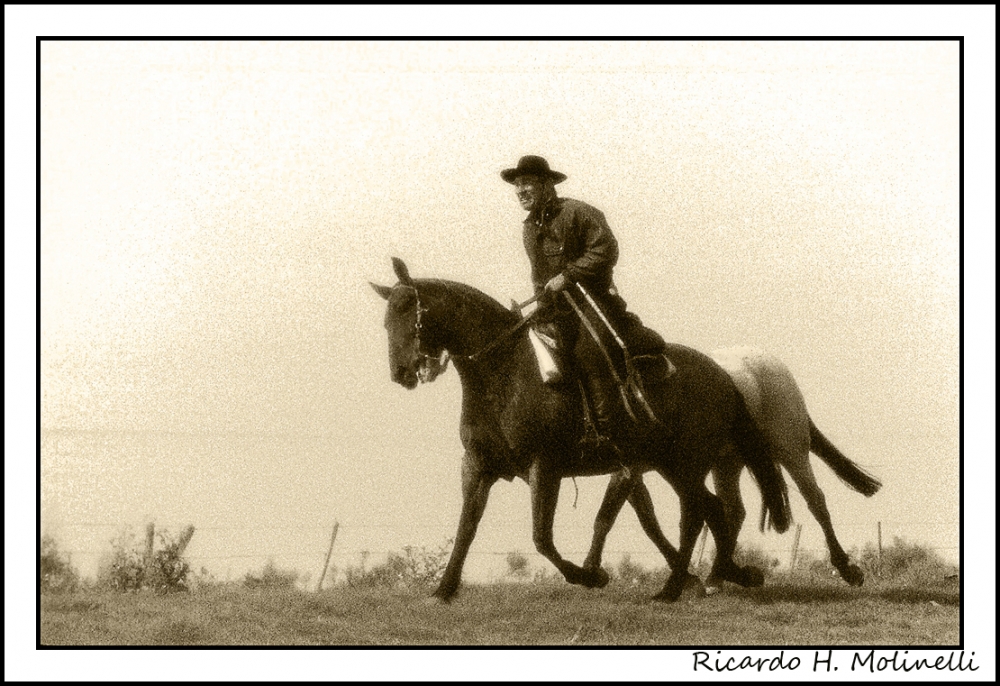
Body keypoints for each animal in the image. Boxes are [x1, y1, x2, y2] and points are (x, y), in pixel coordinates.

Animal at [370, 258, 788, 600]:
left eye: (410, 314)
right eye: (387, 322)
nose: (401, 373)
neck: (506, 372)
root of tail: (723, 377)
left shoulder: (545, 468)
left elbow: (542, 537)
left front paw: (589, 576)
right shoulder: (477, 467)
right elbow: (466, 527)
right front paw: (444, 589)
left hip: (685, 465)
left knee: (696, 516)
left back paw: (674, 589)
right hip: (670, 465)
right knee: (712, 510)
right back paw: (724, 574)